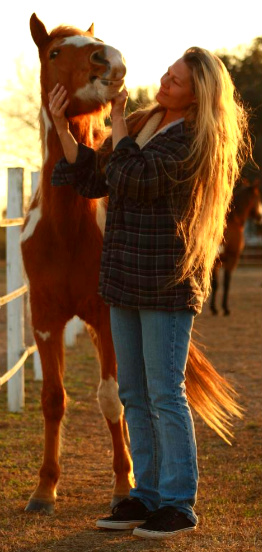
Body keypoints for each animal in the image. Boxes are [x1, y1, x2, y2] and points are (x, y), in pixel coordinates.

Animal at [210, 177, 262, 314]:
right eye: (258, 198)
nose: (259, 216)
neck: (234, 221)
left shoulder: (218, 263)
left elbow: (216, 285)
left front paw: (214, 308)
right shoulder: (232, 258)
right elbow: (226, 283)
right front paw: (225, 308)